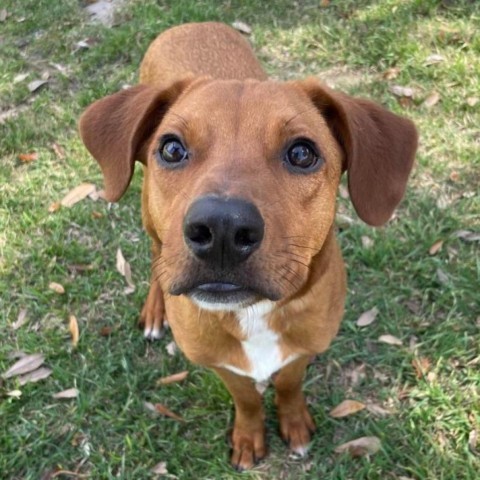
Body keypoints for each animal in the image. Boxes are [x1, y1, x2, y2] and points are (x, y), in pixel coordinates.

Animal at [79, 21, 416, 468]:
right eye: (172, 148)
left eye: (302, 153)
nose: (221, 229)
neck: (254, 314)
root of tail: (191, 23)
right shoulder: (219, 362)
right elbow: (246, 398)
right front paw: (249, 435)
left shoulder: (305, 348)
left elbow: (289, 384)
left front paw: (293, 422)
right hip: (149, 217)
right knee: (155, 259)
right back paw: (155, 309)